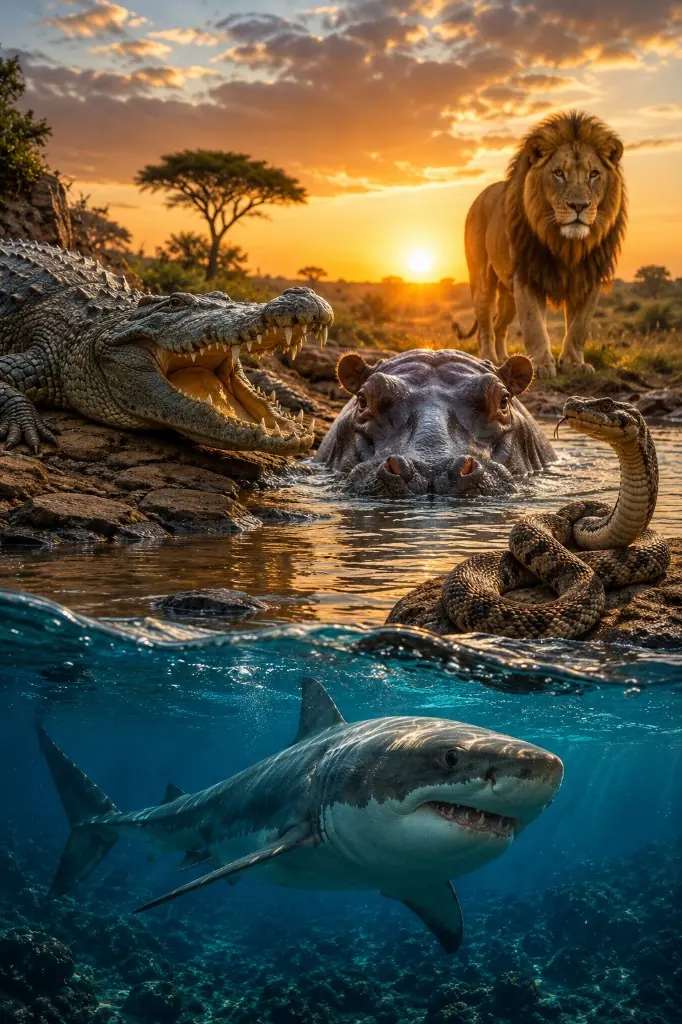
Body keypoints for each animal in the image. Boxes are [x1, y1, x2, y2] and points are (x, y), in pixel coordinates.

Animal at [455, 110, 626, 377]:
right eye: (559, 173)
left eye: (594, 174)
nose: (579, 206)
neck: (568, 245)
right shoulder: (528, 275)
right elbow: (534, 324)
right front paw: (542, 365)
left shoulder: (589, 278)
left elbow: (579, 327)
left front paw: (574, 364)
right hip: (483, 278)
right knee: (485, 326)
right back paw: (489, 359)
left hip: (508, 294)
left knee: (500, 325)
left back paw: (504, 359)